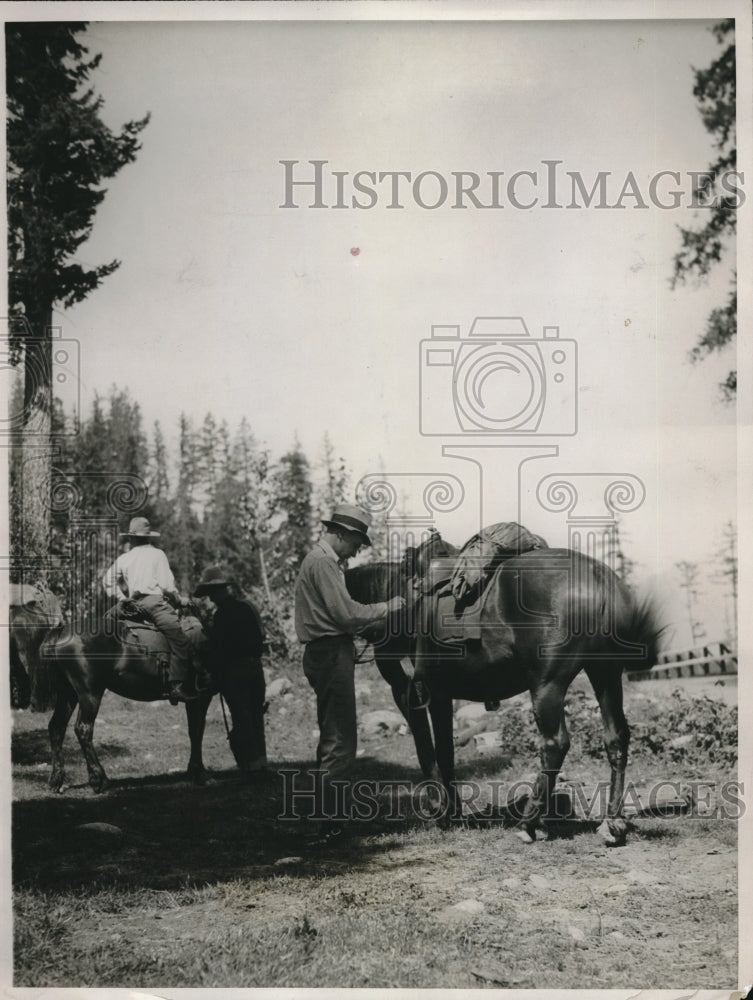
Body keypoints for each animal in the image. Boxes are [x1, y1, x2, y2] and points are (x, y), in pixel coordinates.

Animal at [34, 604, 217, 792]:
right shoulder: (202, 698)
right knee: (83, 729)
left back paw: (56, 780)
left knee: (57, 727)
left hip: (68, 694)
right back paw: (99, 779)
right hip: (90, 694)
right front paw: (200, 773)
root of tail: (63, 631)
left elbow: (194, 731)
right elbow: (197, 731)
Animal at [344, 524, 660, 844]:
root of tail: (597, 576)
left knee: (554, 744)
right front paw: (453, 811)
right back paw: (612, 824)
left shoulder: (425, 692)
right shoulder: (439, 695)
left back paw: (529, 824)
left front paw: (442, 811)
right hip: (606, 674)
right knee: (616, 737)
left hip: (548, 685)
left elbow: (432, 749)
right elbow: (446, 750)